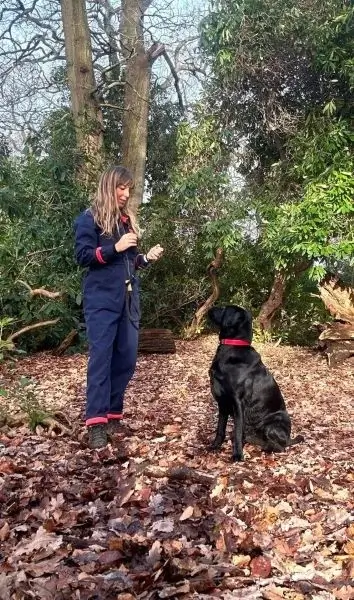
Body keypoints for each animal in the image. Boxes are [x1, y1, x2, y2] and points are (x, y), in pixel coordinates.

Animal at [207, 308, 304, 462]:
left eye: (224, 308)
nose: (211, 308)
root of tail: (289, 438)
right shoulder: (222, 403)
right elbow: (220, 429)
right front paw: (215, 446)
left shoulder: (238, 403)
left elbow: (237, 432)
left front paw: (237, 455)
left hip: (272, 424)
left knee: (280, 447)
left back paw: (266, 449)